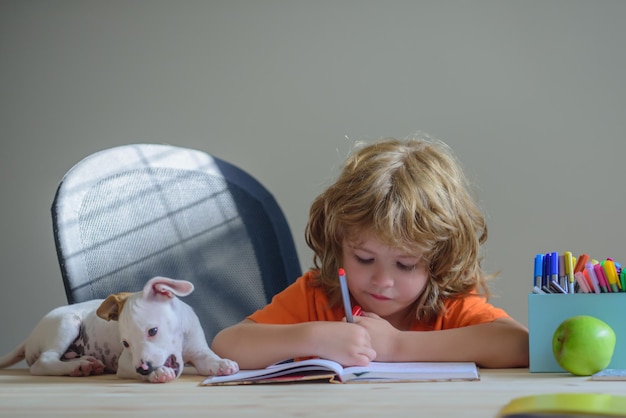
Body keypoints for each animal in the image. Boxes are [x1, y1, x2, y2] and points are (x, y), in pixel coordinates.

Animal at [0, 276, 239, 384]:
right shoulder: (125, 362)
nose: (144, 368)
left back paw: (85, 365)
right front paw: (157, 373)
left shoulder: (198, 349)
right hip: (67, 324)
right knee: (43, 362)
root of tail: (31, 335)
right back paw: (77, 367)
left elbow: (208, 357)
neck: (181, 342)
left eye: (153, 331)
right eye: (126, 344)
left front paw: (222, 363)